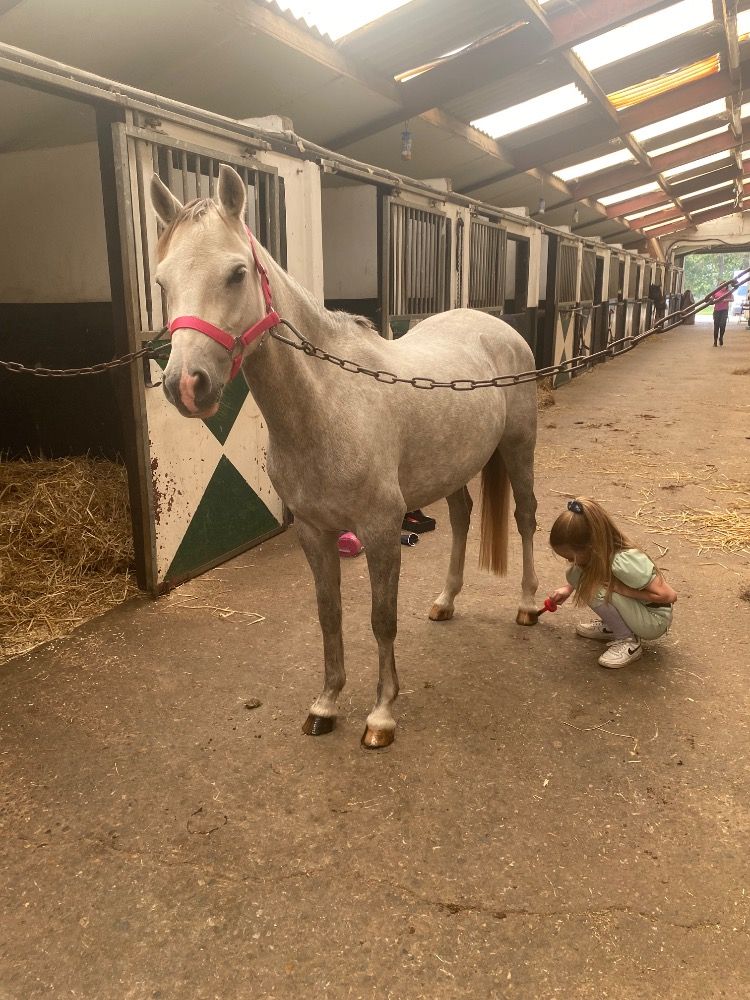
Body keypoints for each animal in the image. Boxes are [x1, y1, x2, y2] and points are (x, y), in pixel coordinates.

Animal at [150, 164, 540, 749]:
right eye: (162, 282)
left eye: (237, 274)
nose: (186, 386)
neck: (327, 404)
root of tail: (497, 326)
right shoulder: (315, 531)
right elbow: (329, 615)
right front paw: (326, 703)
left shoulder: (381, 528)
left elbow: (381, 619)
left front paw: (381, 714)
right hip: (453, 467)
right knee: (462, 516)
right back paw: (446, 601)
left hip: (519, 449)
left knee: (525, 517)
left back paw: (527, 605)